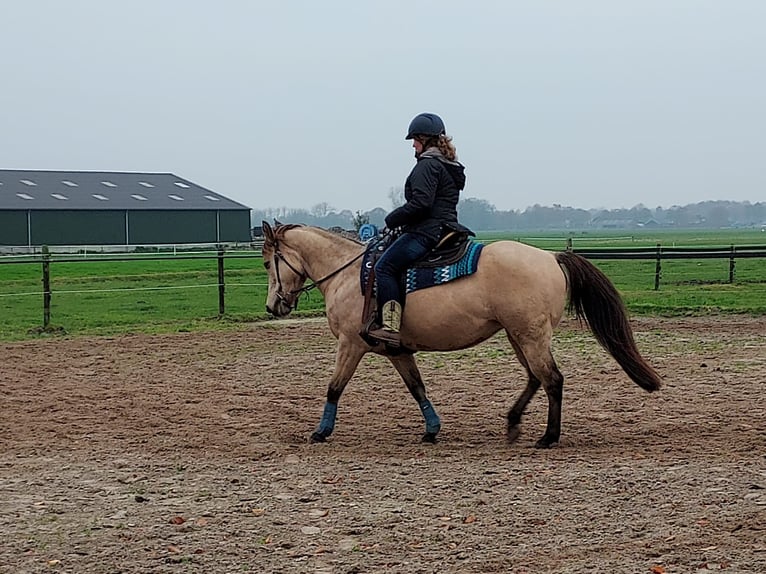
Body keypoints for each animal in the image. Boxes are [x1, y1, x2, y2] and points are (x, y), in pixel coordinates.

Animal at [261, 221, 661, 448]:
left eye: (267, 262)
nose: (273, 306)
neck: (349, 275)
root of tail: (550, 257)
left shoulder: (352, 344)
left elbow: (334, 387)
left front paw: (321, 432)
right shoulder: (397, 350)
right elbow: (417, 388)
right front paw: (432, 430)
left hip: (530, 336)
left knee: (552, 379)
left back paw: (548, 437)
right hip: (519, 335)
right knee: (535, 378)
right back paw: (513, 422)